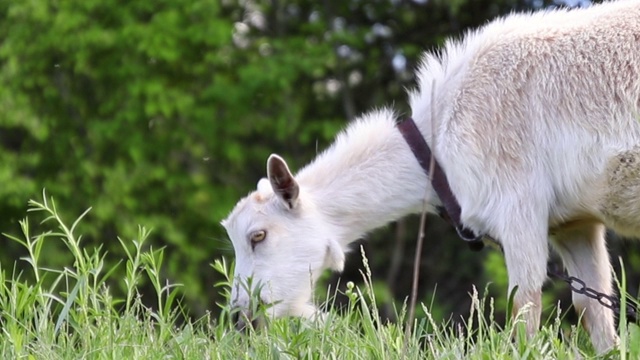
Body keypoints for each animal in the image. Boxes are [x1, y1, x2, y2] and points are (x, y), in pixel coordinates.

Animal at [222, 0, 640, 352]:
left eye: (258, 236)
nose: (242, 318)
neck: (437, 142)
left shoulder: (517, 204)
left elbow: (524, 305)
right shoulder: (574, 223)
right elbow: (592, 306)